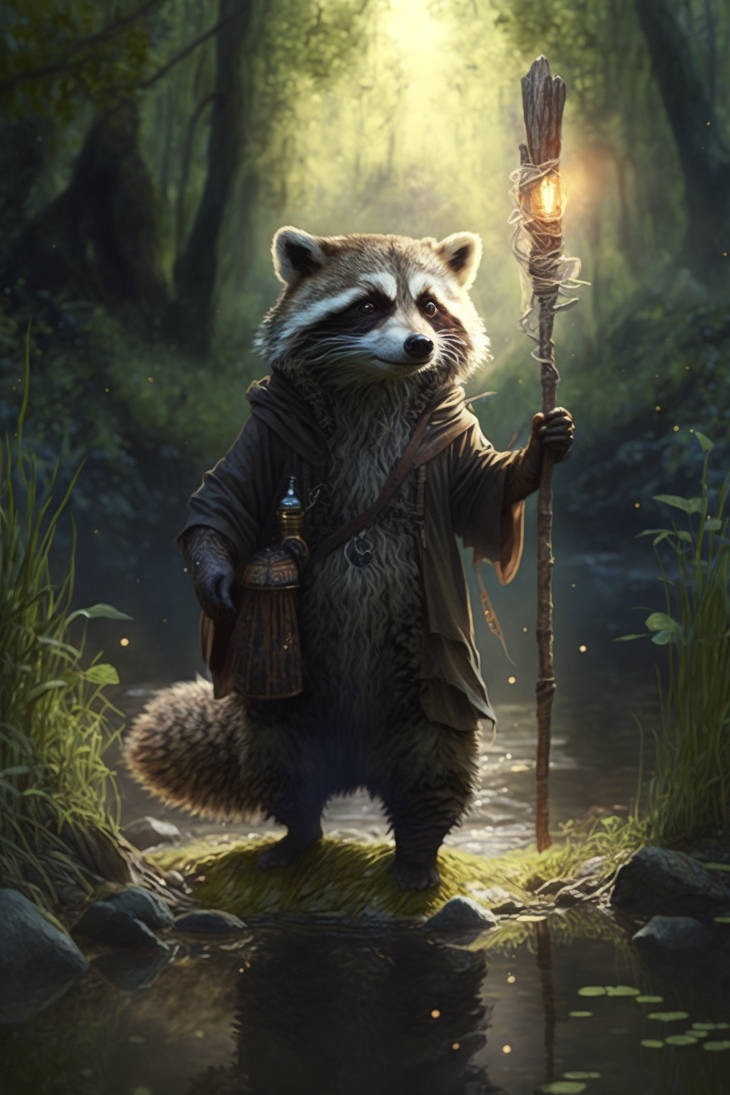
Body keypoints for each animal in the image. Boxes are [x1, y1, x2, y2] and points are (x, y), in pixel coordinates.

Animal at [126, 227, 574, 890]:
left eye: (430, 306)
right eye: (369, 304)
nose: (420, 345)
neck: (374, 383)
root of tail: (357, 770)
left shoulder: (449, 436)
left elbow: (479, 491)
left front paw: (533, 459)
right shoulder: (268, 430)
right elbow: (223, 495)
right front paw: (214, 575)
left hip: (424, 679)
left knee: (434, 761)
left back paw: (417, 850)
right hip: (292, 692)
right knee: (283, 759)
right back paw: (298, 834)